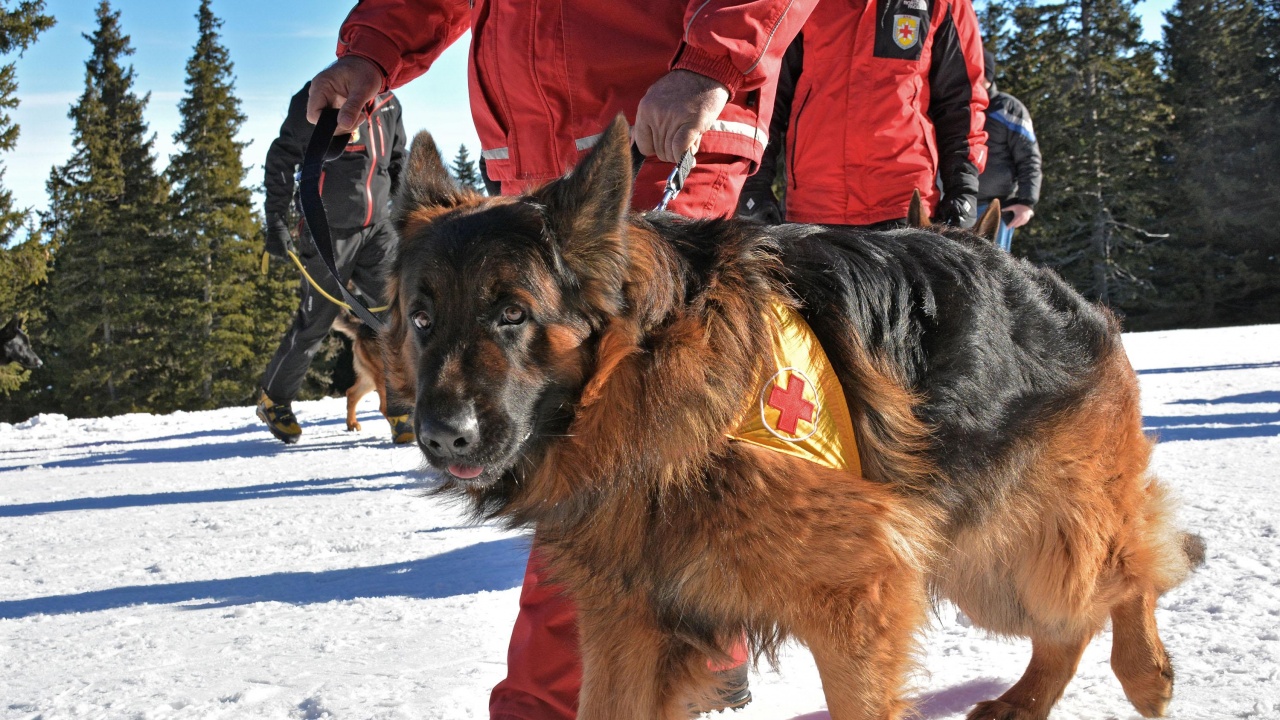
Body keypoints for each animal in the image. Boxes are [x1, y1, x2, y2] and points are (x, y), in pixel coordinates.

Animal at [378, 119, 1198, 717]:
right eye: (422, 319)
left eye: (512, 314)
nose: (441, 436)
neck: (652, 367)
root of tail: (1061, 295)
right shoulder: (627, 622)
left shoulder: (858, 602)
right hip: (979, 560)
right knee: (1074, 620)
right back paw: (1025, 703)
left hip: (1034, 546)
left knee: (1129, 571)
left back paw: (1145, 671)